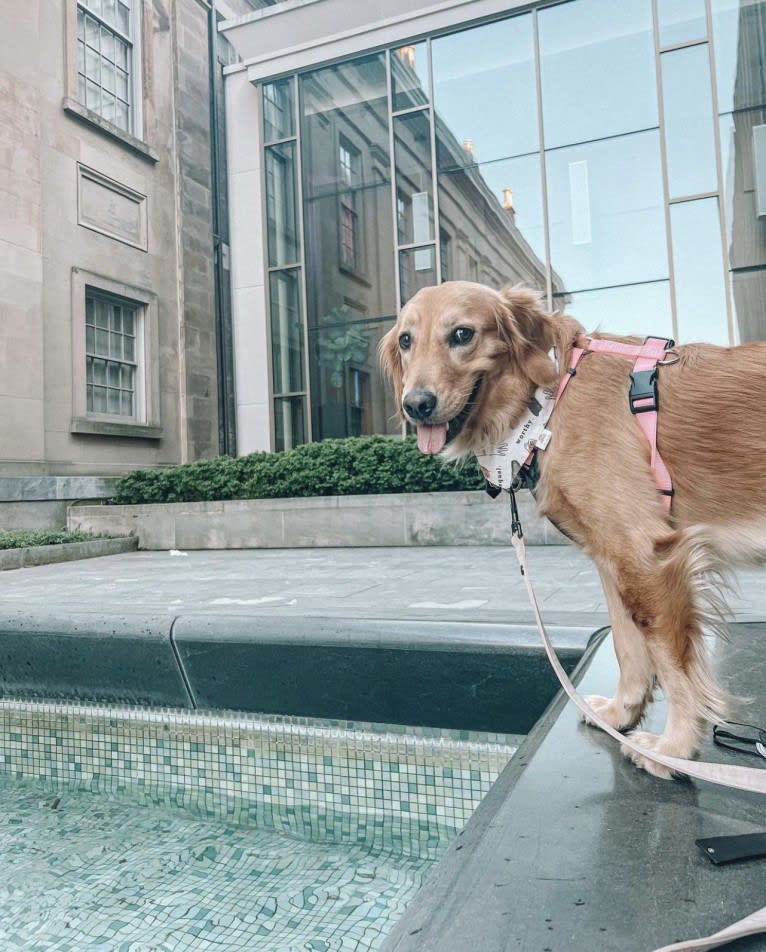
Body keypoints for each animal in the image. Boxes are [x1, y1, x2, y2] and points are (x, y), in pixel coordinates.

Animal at [380, 278, 766, 776]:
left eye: (462, 334)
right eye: (406, 341)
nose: (416, 405)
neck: (548, 403)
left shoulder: (646, 556)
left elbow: (672, 663)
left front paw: (674, 747)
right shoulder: (613, 558)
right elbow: (628, 646)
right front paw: (621, 714)